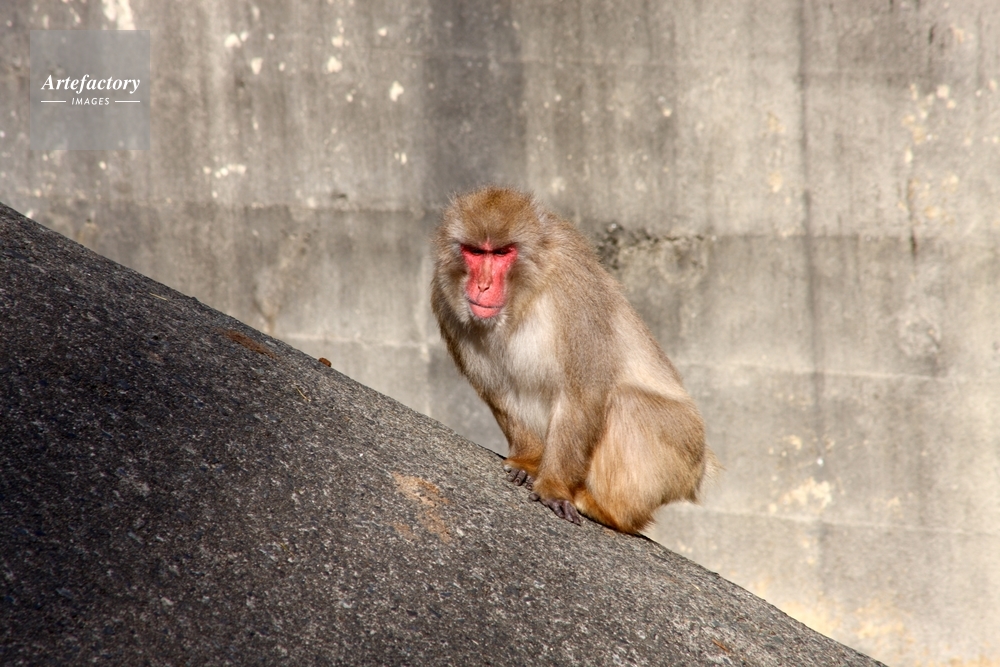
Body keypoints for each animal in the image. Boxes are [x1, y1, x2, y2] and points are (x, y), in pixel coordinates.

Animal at [431, 186, 715, 534]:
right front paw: (528, 462)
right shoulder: (444, 298)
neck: (524, 295)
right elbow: (500, 390)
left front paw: (553, 485)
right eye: (474, 251)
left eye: (500, 253)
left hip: (683, 454)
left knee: (629, 402)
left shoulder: (574, 290)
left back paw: (607, 509)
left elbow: (582, 394)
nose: (482, 285)